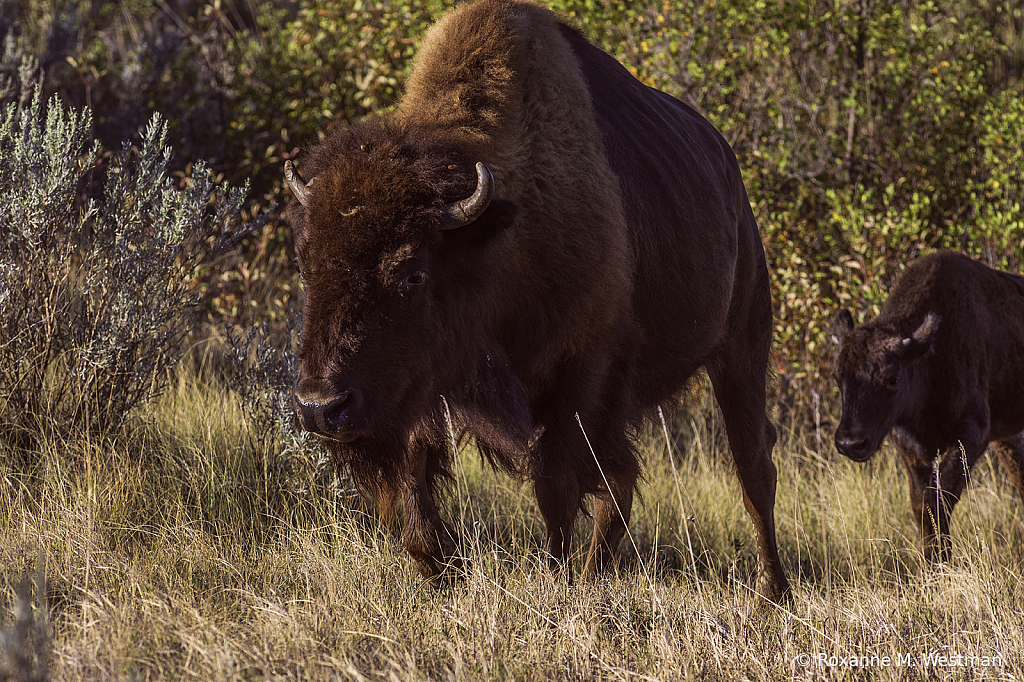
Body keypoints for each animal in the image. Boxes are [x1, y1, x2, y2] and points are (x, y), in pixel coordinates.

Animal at [284, 0, 786, 593]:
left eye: (412, 273)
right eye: (304, 263)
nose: (320, 407)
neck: (496, 236)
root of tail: (730, 172)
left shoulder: (578, 378)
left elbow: (557, 489)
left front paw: (554, 577)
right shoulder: (421, 386)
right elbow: (413, 483)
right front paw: (443, 568)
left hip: (742, 350)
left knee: (752, 470)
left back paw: (772, 591)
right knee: (622, 483)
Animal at [831, 248, 1024, 557]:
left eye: (892, 378)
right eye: (837, 376)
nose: (851, 443)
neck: (928, 357)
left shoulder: (971, 436)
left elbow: (940, 500)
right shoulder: (910, 448)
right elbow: (923, 505)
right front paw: (934, 560)